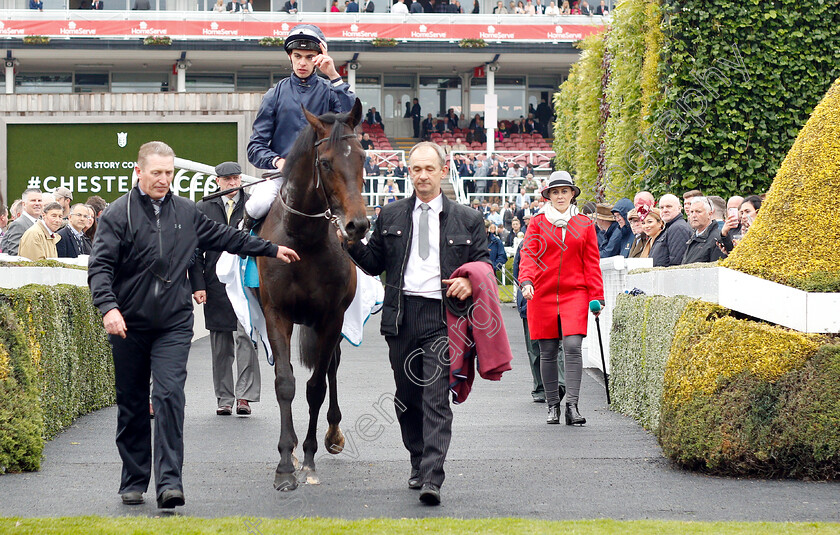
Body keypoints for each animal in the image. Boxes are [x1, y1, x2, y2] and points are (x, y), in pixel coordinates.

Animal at [258, 98, 370, 492]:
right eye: (325, 163)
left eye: (363, 157)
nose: (357, 225)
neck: (303, 239)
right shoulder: (276, 313)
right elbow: (285, 383)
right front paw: (284, 463)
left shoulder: (330, 318)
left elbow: (316, 387)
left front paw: (307, 458)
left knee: (331, 367)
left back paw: (332, 432)